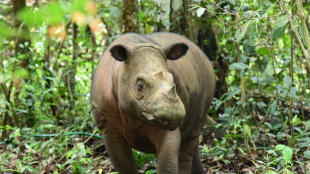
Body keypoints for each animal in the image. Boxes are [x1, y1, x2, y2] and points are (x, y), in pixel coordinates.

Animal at [91, 32, 214, 173]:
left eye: (173, 81)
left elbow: (167, 164)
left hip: (208, 75)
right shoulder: (107, 124)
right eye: (139, 86)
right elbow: (124, 165)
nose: (174, 112)